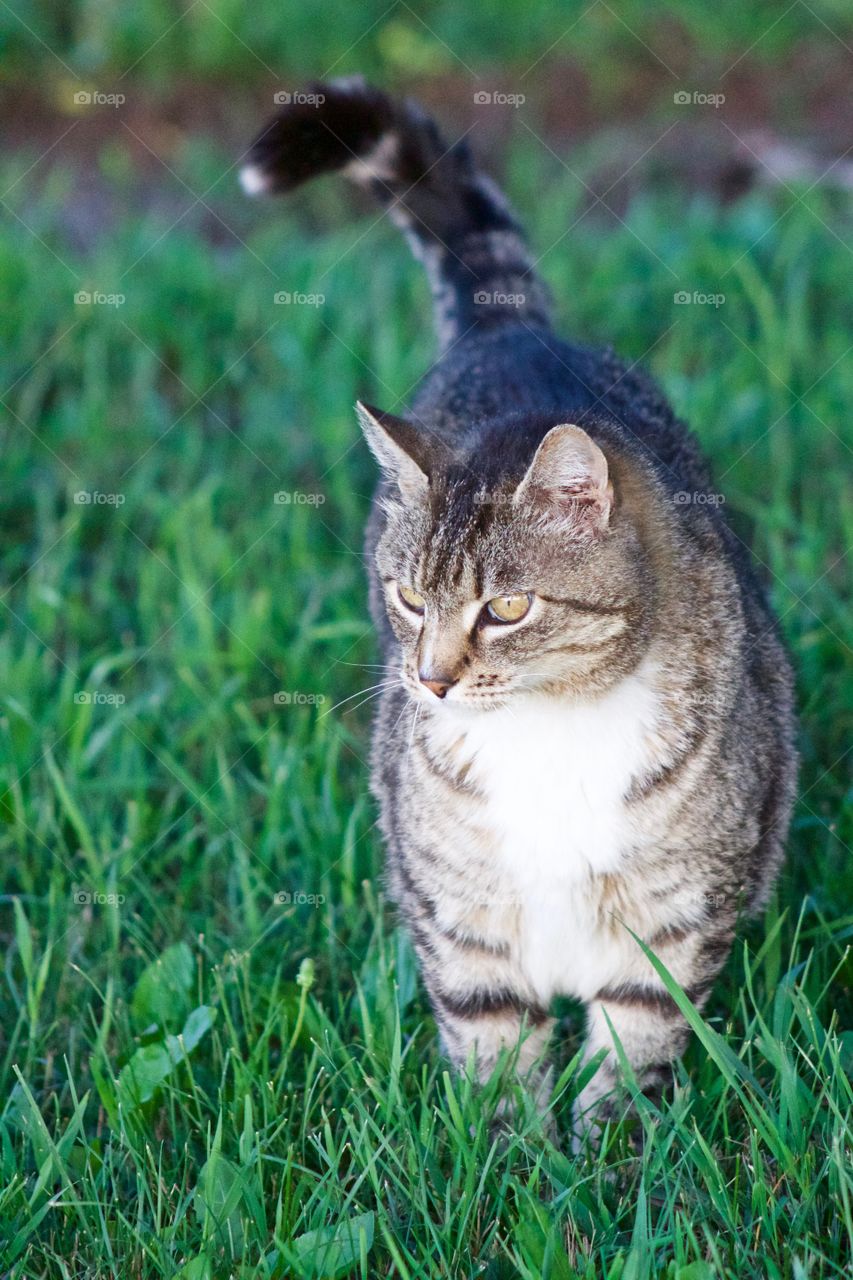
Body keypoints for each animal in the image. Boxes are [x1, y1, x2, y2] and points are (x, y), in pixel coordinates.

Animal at [240, 80, 799, 1141]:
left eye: (505, 607)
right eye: (410, 598)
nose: (429, 681)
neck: (552, 728)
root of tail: (513, 331)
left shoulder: (677, 909)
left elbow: (640, 1027)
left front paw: (610, 1155)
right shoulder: (458, 906)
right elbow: (488, 1028)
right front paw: (504, 1157)